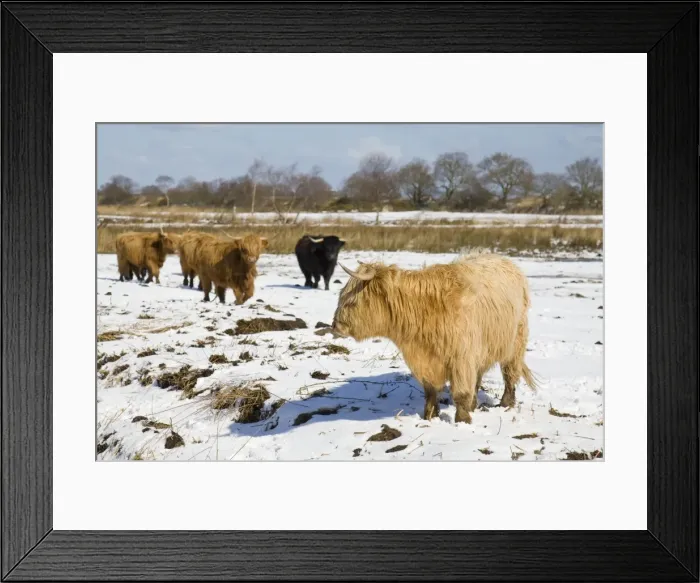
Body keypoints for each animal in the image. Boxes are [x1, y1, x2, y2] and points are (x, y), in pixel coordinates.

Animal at [331, 252, 539, 424]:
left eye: (352, 301)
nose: (335, 326)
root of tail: (507, 262)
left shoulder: (462, 357)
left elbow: (461, 392)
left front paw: (463, 420)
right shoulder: (428, 361)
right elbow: (430, 391)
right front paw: (430, 415)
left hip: (515, 342)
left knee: (510, 373)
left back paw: (506, 403)